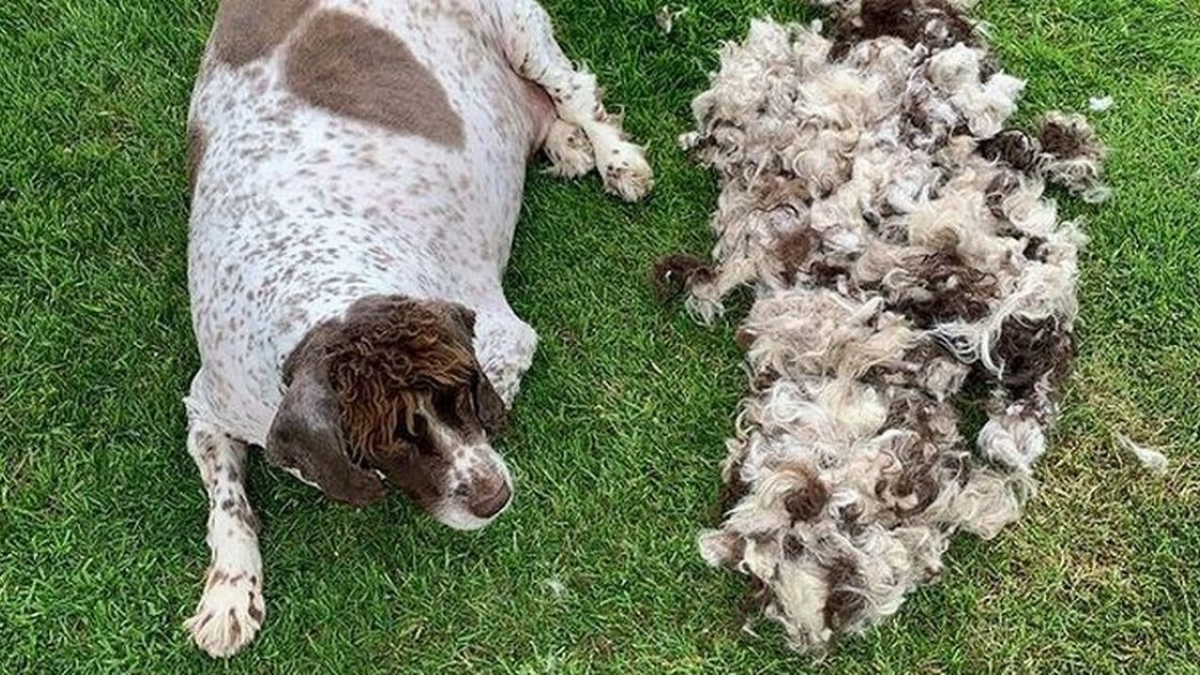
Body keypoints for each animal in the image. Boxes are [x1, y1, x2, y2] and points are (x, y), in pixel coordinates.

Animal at [182, 0, 652, 653]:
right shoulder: (208, 402)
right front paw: (229, 592)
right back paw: (567, 143)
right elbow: (227, 499)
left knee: (573, 88)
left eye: (460, 394)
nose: (495, 499)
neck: (312, 285)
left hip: (519, 30)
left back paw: (612, 157)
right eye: (391, 438)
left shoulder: (500, 337)